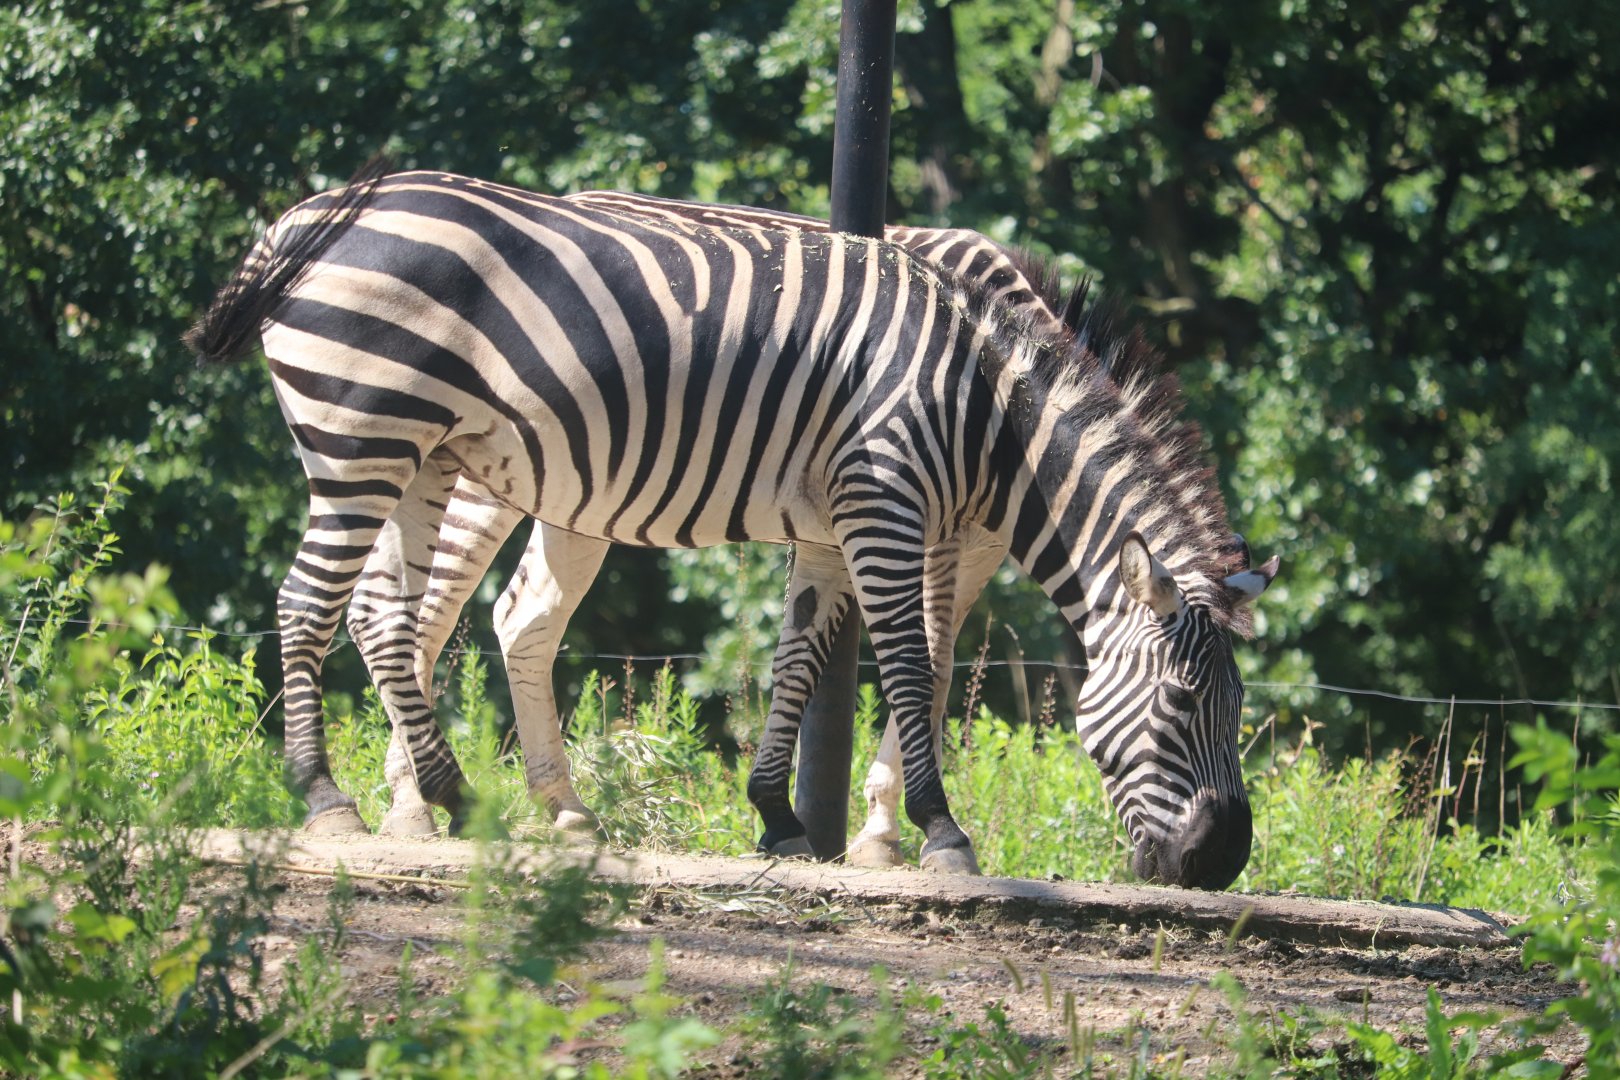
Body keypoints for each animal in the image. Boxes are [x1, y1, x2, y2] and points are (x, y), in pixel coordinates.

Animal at [186, 162, 1277, 888]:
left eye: (1237, 711)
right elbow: (914, 662)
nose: (1221, 863)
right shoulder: (891, 506)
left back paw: (494, 804)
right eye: (1183, 705)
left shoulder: (841, 525)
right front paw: (927, 831)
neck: (988, 404)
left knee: (406, 614)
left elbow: (802, 660)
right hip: (368, 439)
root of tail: (317, 213)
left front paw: (781, 818)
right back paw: (340, 800)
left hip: (442, 458)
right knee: (323, 603)